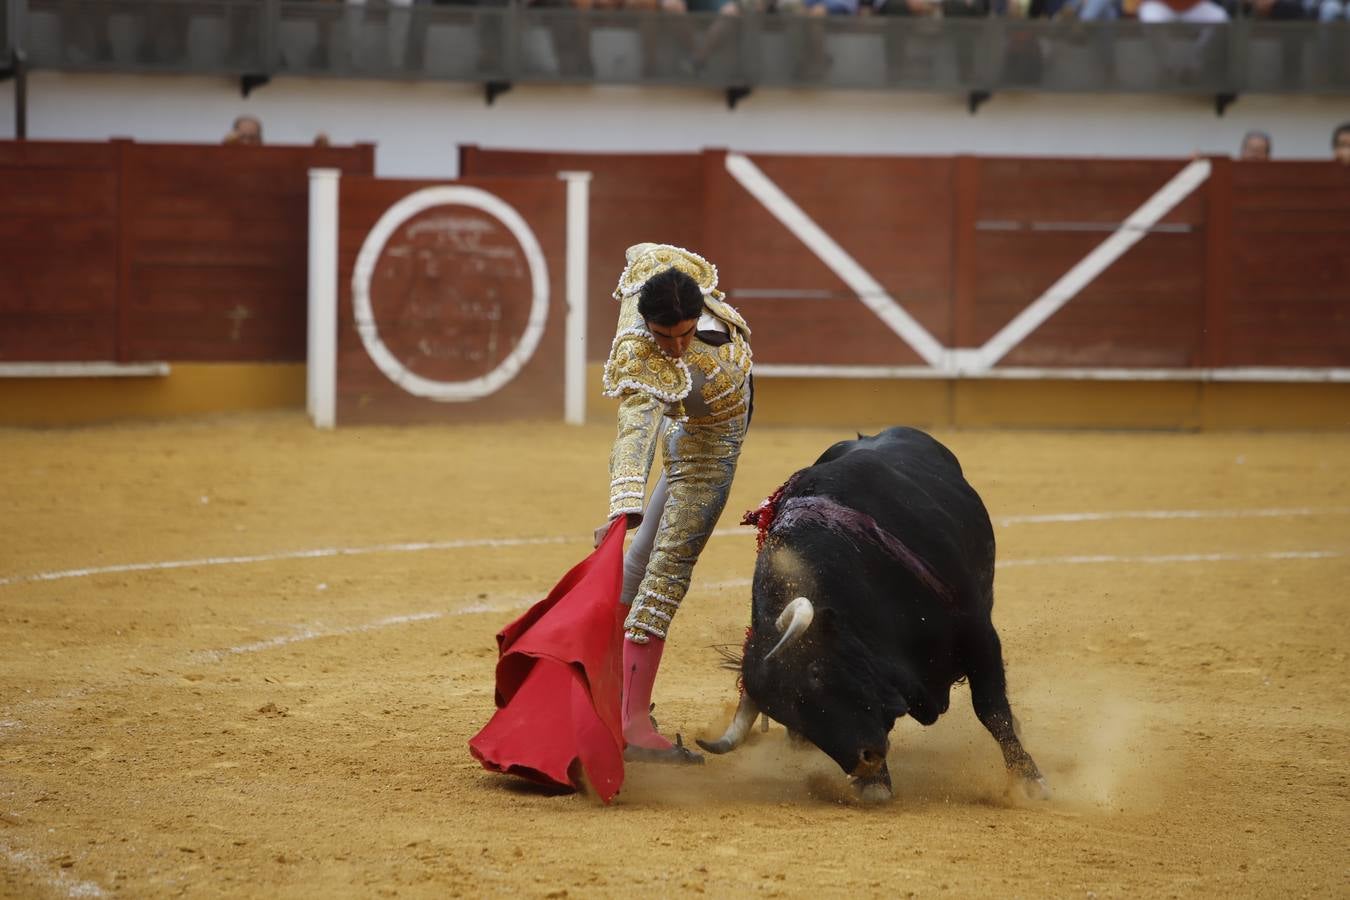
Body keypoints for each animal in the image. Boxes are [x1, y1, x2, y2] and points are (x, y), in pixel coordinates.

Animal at [702, 429, 1047, 804]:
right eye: (781, 712)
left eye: (817, 672)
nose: (864, 761)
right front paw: (875, 784)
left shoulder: (978, 632)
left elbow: (991, 709)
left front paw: (1028, 780)